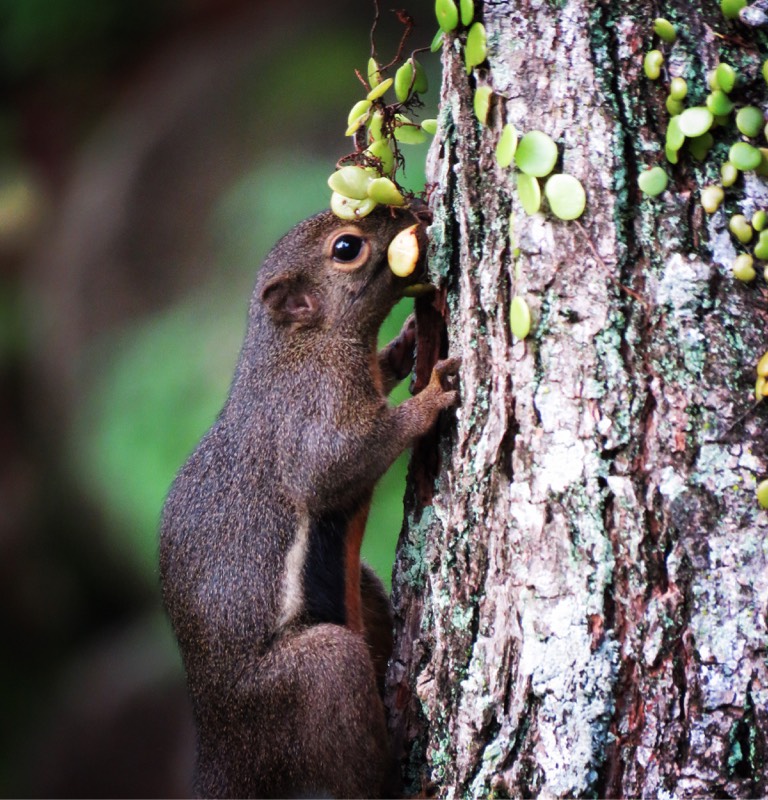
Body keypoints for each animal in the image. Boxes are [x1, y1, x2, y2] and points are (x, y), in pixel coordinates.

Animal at [156, 203, 456, 796]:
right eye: (346, 248)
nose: (414, 209)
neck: (301, 344)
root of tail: (226, 750)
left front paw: (405, 343)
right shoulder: (308, 414)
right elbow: (335, 465)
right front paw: (429, 397)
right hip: (318, 675)